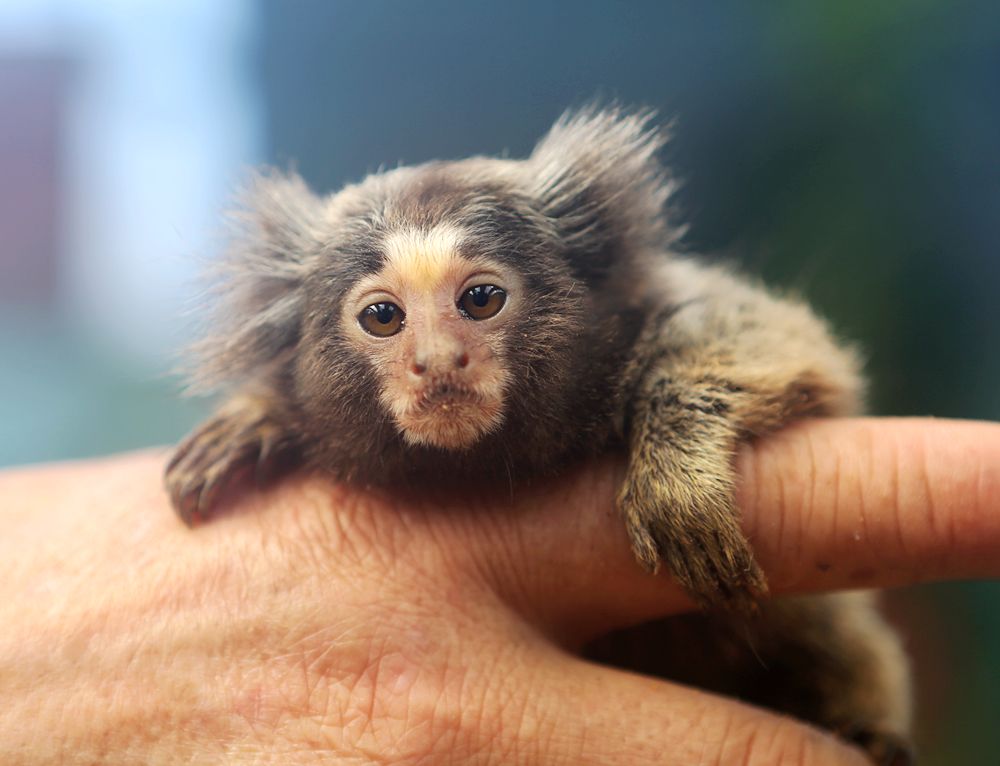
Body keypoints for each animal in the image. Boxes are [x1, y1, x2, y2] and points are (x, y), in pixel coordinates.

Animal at [164, 109, 916, 766]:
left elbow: (776, 342)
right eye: (382, 316)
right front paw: (256, 419)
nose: (438, 362)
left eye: (481, 299)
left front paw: (677, 472)